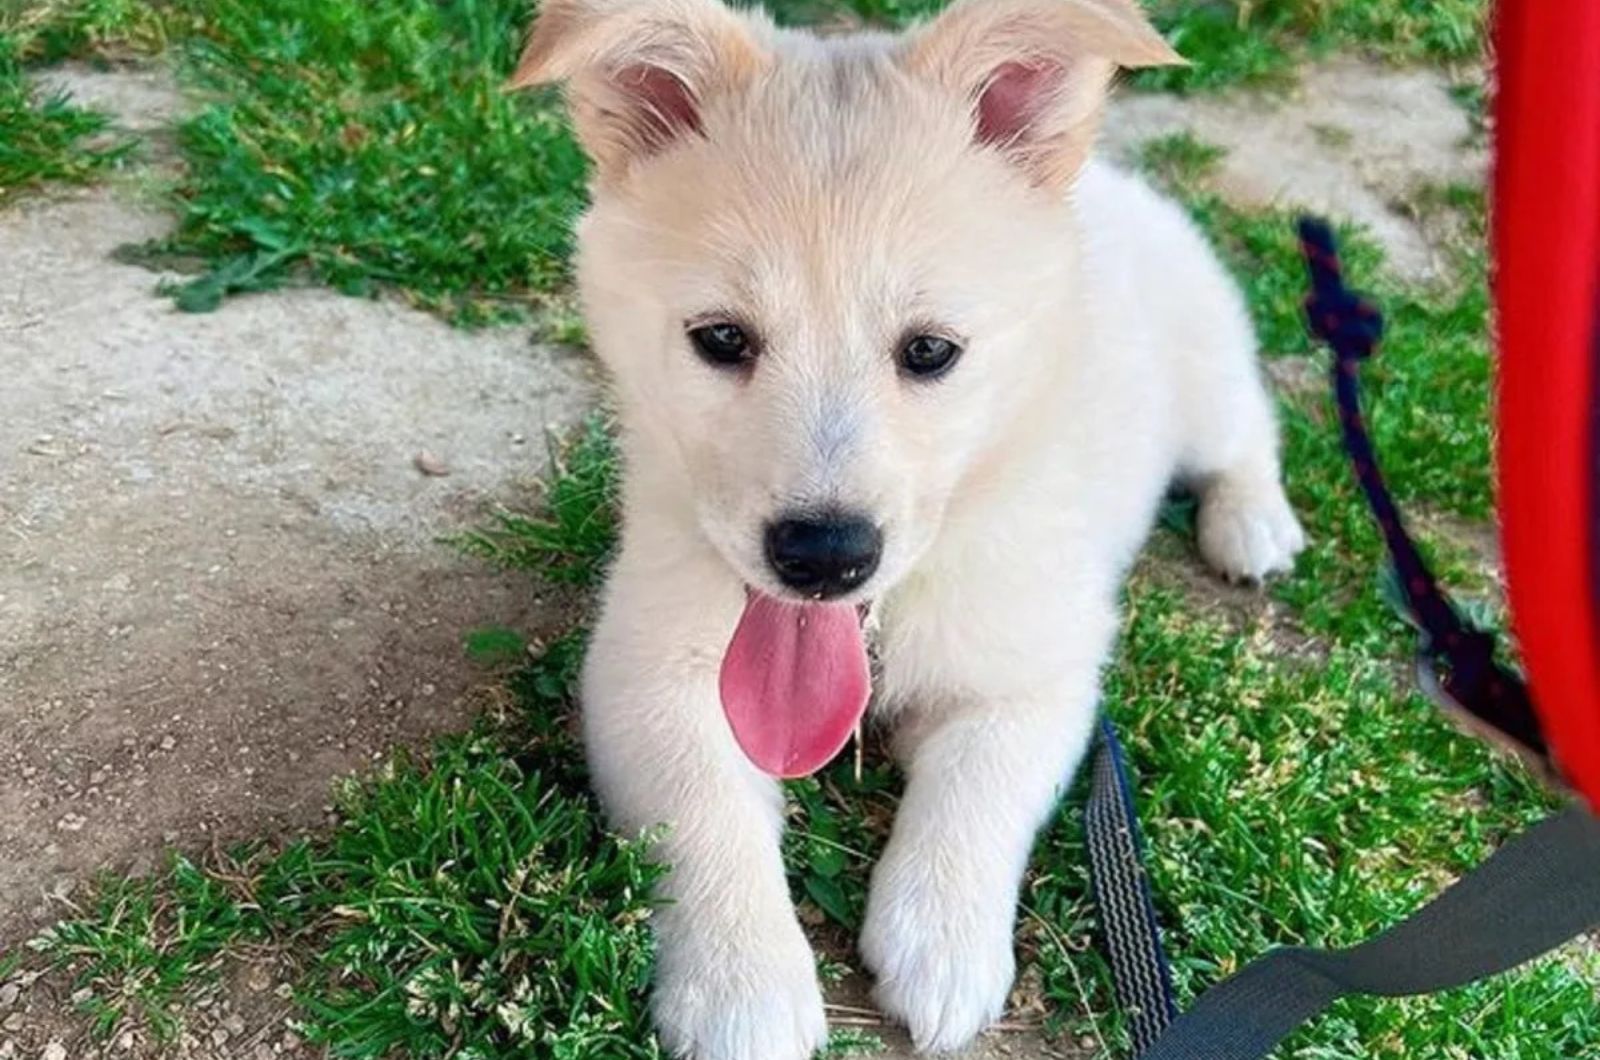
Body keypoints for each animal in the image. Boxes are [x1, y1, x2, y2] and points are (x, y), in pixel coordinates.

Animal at [512, 0, 1299, 1056]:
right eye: (720, 339)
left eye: (930, 351)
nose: (823, 558)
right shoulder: (644, 669)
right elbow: (700, 808)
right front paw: (742, 985)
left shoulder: (1039, 672)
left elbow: (978, 790)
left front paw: (944, 943)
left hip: (1206, 365)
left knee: (1249, 429)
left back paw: (1253, 523)